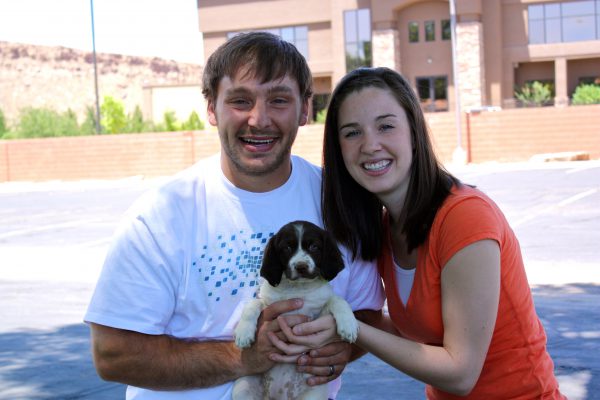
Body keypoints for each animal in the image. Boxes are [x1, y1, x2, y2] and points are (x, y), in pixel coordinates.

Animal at [232, 220, 358, 398]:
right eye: (287, 248)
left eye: (314, 247)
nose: (301, 266)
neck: (298, 288)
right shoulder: (268, 304)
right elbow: (252, 304)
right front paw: (243, 333)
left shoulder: (317, 317)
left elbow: (337, 300)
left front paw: (348, 325)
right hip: (243, 386)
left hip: (313, 394)